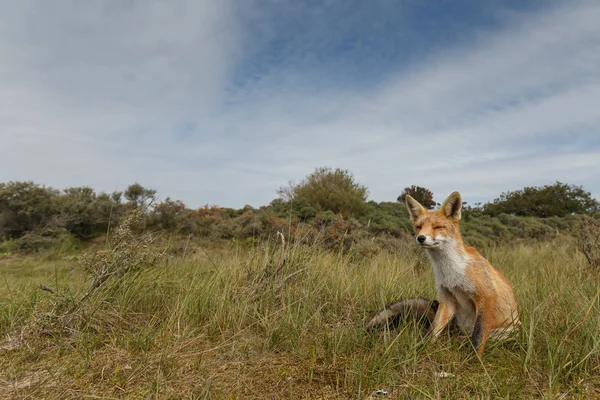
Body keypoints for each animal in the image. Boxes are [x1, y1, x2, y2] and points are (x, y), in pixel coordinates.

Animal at [366, 192, 520, 354]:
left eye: (437, 227)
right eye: (419, 227)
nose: (421, 238)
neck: (451, 271)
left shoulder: (485, 296)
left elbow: (478, 336)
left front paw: (474, 357)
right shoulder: (447, 298)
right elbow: (434, 329)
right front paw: (425, 347)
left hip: (507, 332)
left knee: (475, 336)